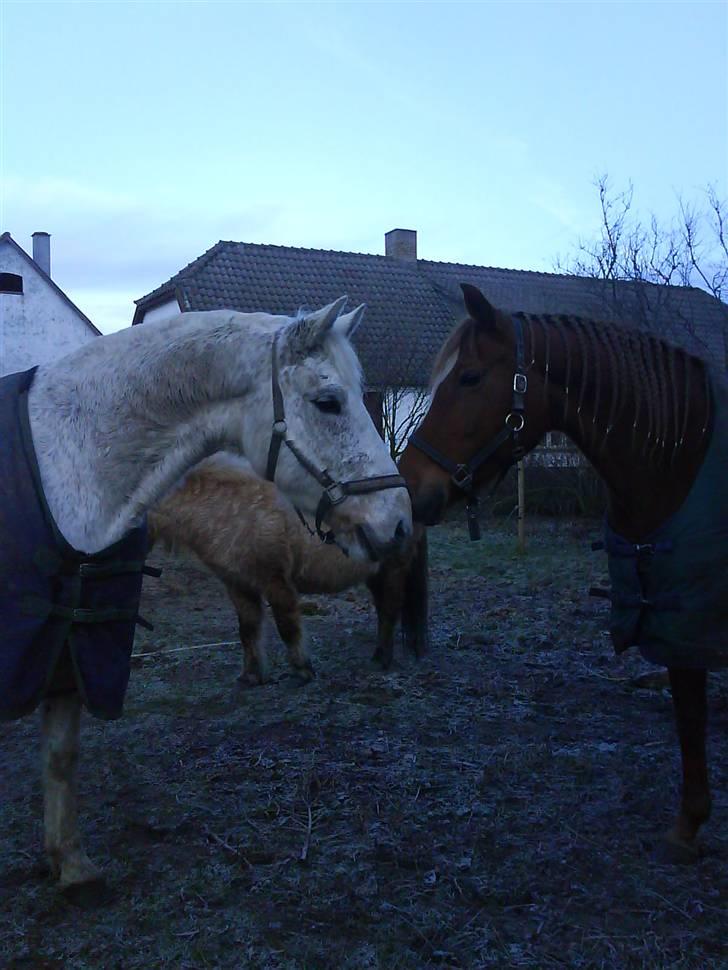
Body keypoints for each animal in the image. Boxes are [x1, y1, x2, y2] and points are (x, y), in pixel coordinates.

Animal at [148, 454, 426, 680]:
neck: (232, 511)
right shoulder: (238, 585)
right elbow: (247, 629)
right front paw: (252, 675)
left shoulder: (275, 581)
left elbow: (287, 626)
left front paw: (302, 669)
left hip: (393, 570)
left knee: (389, 611)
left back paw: (381, 659)